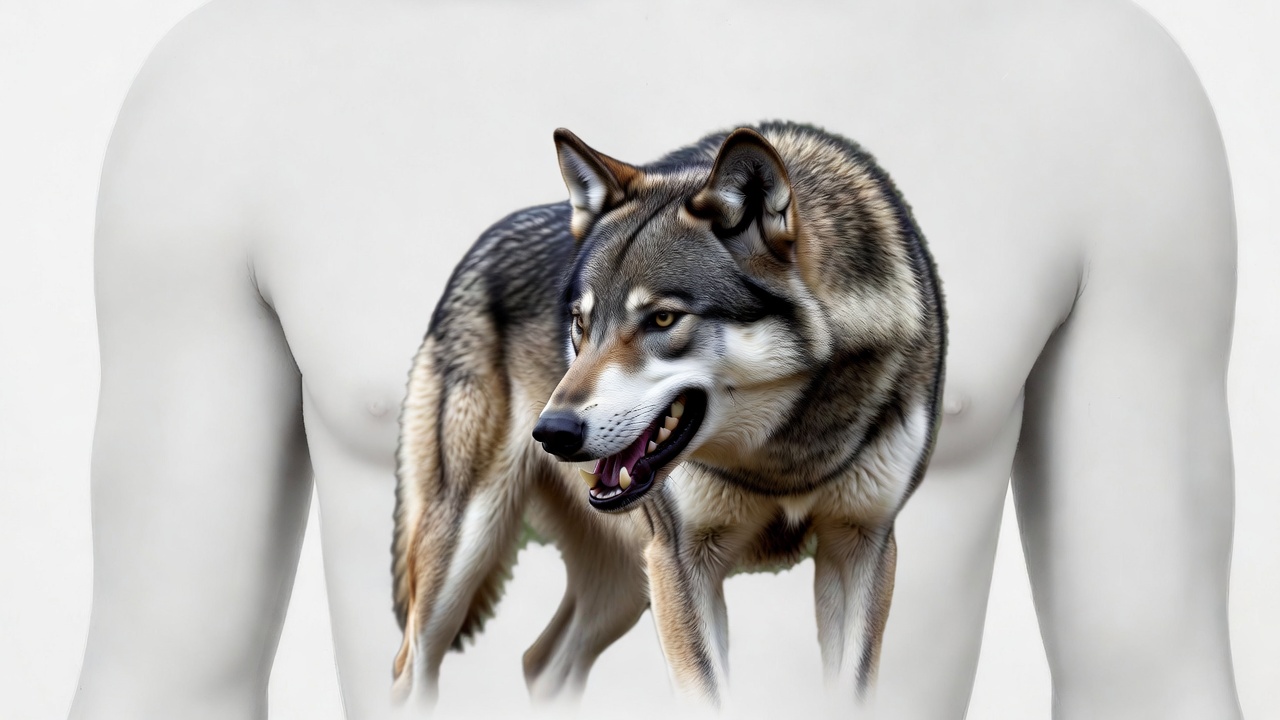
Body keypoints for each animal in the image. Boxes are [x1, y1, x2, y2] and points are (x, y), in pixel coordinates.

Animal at [390, 121, 946, 712]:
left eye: (661, 319)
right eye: (580, 324)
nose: (552, 432)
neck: (786, 456)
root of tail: (479, 244)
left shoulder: (860, 545)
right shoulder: (681, 559)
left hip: (624, 583)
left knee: (540, 662)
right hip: (467, 555)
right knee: (411, 671)